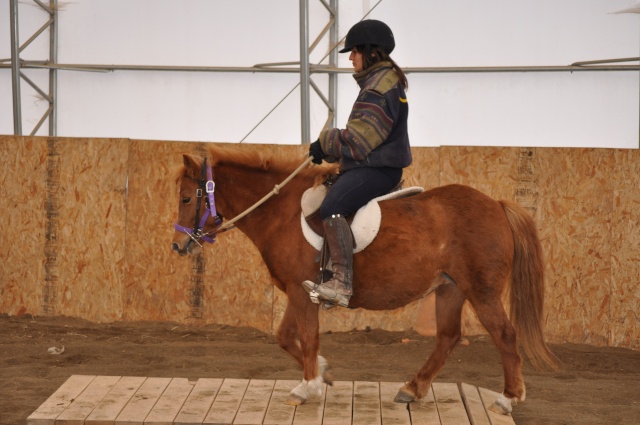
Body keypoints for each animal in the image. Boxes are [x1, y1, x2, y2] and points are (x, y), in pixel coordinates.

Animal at [170, 145, 556, 414]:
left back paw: (507, 399)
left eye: (187, 198)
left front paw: (308, 386)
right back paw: (413, 388)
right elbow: (285, 336)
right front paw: (323, 372)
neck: (281, 213)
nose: (177, 245)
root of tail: (497, 204)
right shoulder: (299, 291)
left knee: (505, 335)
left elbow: (307, 337)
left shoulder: (301, 292)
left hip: (482, 292)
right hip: (450, 289)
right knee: (448, 338)